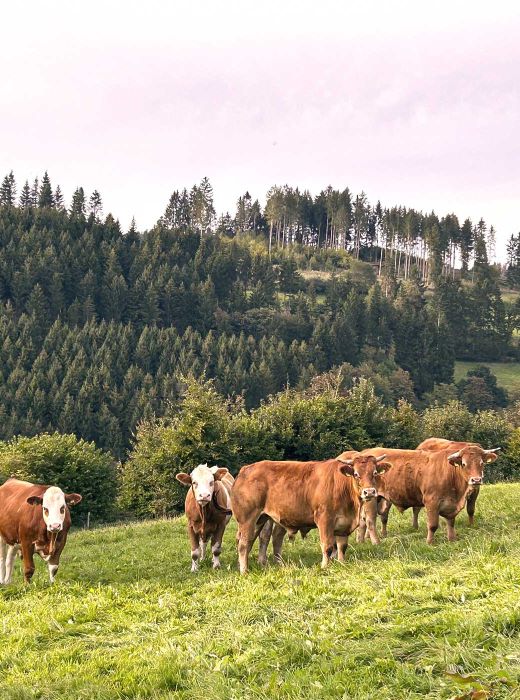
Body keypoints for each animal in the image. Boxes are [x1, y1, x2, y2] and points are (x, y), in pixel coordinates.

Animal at [232, 454, 390, 574]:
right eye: (356, 474)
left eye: (374, 473)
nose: (369, 492)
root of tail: (246, 469)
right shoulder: (324, 519)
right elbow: (327, 546)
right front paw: (325, 566)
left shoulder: (344, 523)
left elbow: (342, 546)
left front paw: (342, 563)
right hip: (247, 518)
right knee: (244, 544)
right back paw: (244, 571)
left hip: (260, 519)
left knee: (250, 541)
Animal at [356, 445, 500, 543]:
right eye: (464, 464)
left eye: (482, 463)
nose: (476, 480)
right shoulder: (432, 502)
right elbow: (433, 525)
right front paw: (430, 542)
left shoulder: (451, 504)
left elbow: (451, 522)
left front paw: (452, 539)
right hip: (371, 498)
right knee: (369, 520)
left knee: (363, 520)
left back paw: (361, 540)